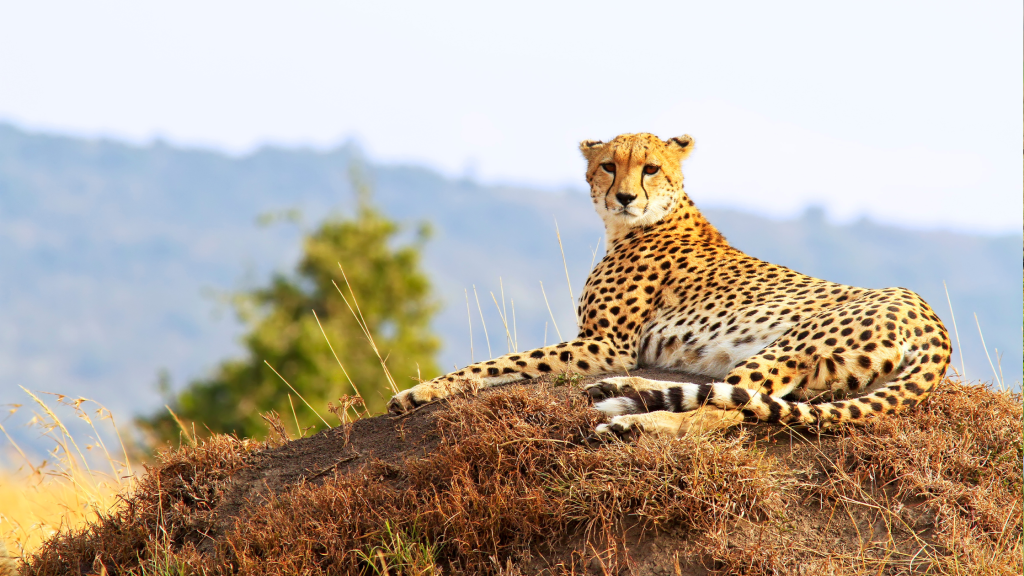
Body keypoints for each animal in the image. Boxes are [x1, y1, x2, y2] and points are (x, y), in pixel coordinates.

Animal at [385, 132, 950, 436]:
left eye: (650, 168)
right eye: (608, 166)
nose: (625, 197)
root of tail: (932, 320)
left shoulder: (607, 345)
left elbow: (501, 361)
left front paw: (419, 391)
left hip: (790, 344)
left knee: (726, 410)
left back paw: (632, 415)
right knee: (731, 401)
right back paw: (627, 398)